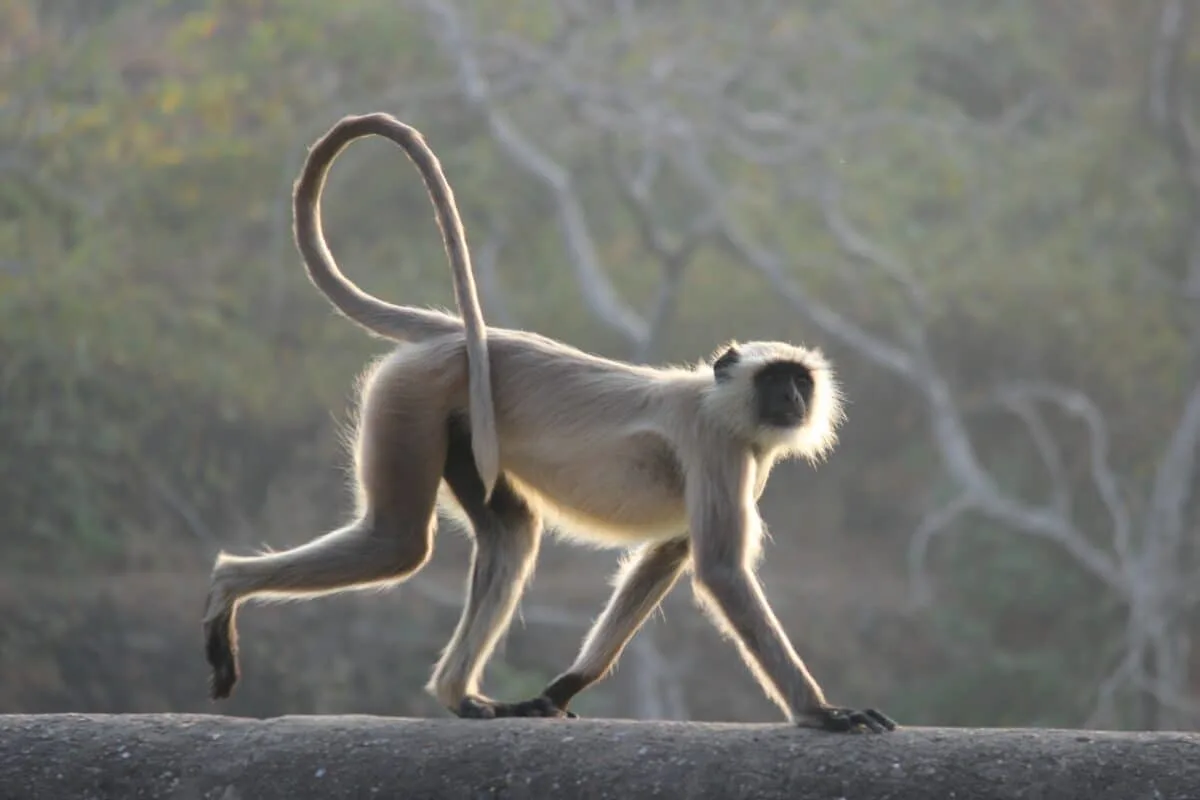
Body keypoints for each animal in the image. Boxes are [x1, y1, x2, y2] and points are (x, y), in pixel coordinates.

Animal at [201, 112, 902, 738]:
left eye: (799, 381)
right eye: (774, 379)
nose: (792, 399)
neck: (718, 400)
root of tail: (456, 333)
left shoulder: (748, 459)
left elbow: (666, 555)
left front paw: (561, 688)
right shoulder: (717, 446)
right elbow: (721, 572)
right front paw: (821, 713)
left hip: (455, 420)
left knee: (510, 531)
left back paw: (460, 697)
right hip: (411, 395)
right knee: (397, 542)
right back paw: (227, 584)